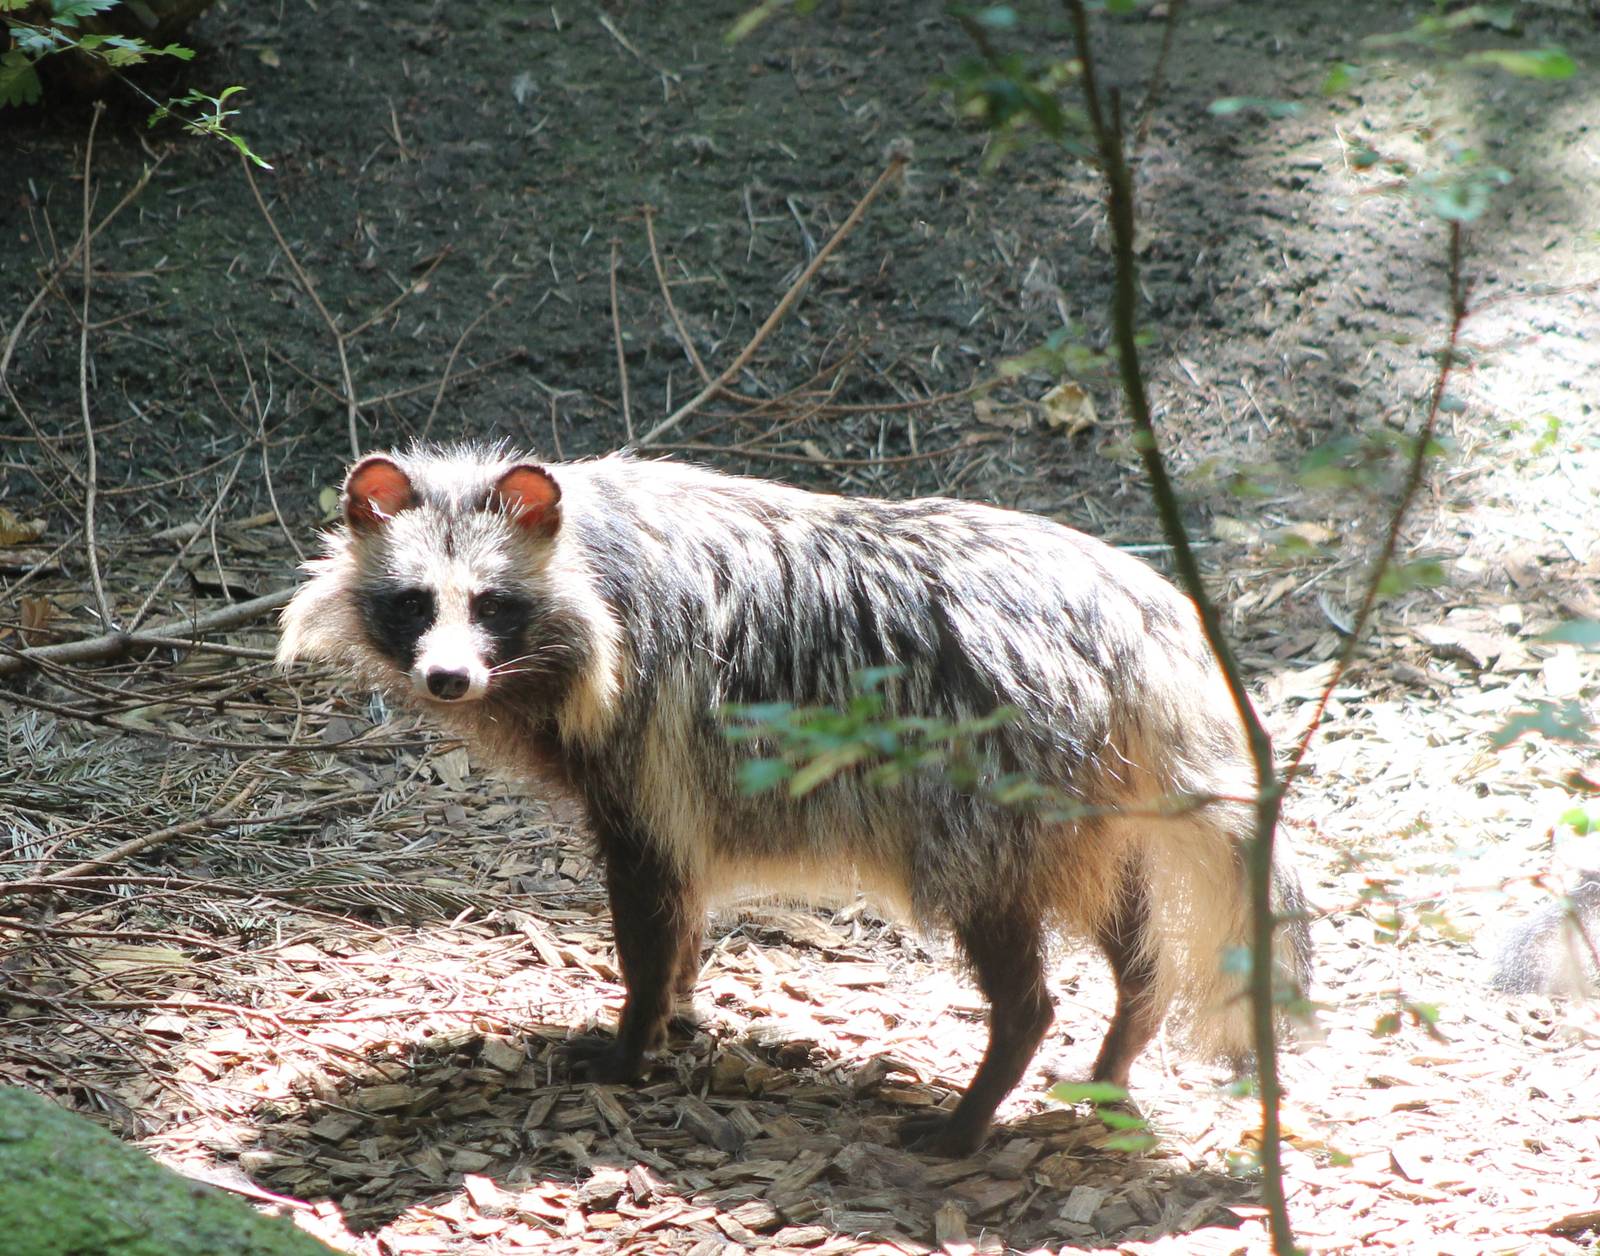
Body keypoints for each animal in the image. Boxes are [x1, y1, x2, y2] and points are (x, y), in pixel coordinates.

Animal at [278, 444, 1311, 1156]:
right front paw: (681, 1003)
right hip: (1098, 805)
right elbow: (684, 905)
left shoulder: (643, 749)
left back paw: (980, 1102)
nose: (449, 679)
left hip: (994, 785)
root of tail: (1150, 628)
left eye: (493, 605)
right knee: (1138, 950)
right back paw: (1115, 1057)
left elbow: (649, 907)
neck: (592, 552)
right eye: (414, 602)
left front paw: (634, 1035)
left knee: (1018, 967)